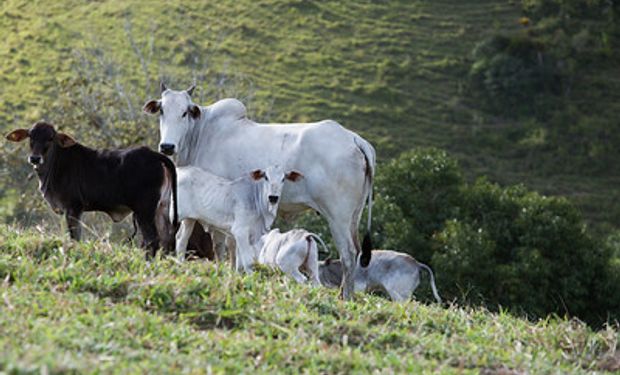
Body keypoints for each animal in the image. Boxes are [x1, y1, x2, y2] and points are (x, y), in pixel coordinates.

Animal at [6, 122, 178, 258]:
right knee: (167, 239)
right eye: (30, 137)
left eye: (50, 138)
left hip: (144, 210)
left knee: (152, 240)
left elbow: (75, 237)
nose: (35, 158)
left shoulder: (73, 208)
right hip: (161, 208)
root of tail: (154, 155)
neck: (55, 165)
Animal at [174, 166, 302, 272]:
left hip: (189, 219)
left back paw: (180, 265)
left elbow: (239, 263)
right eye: (266, 177)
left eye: (283, 179)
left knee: (181, 239)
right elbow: (248, 262)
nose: (273, 198)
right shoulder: (240, 231)